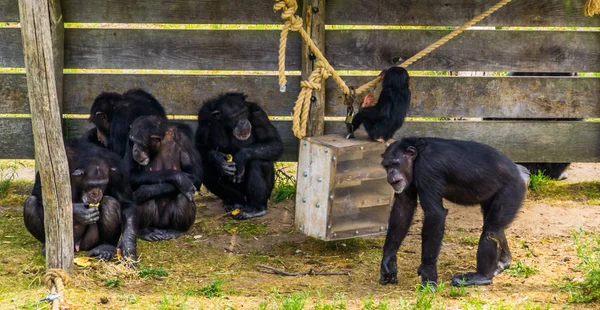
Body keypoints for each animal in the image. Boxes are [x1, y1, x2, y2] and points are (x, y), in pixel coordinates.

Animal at [195, 92, 284, 220]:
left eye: (243, 113)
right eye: (235, 117)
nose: (243, 121)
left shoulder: (258, 114)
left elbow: (274, 142)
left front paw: (241, 157)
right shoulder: (204, 116)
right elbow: (199, 144)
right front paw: (218, 160)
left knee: (258, 160)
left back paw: (256, 208)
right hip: (240, 195)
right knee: (206, 167)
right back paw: (233, 202)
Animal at [382, 137, 528, 286]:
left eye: (396, 163)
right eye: (387, 166)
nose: (391, 172)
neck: (416, 158)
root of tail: (521, 172)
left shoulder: (427, 169)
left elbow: (434, 214)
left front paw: (427, 271)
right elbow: (403, 207)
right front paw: (388, 260)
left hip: (512, 191)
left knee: (491, 230)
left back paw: (482, 276)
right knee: (496, 226)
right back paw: (503, 262)